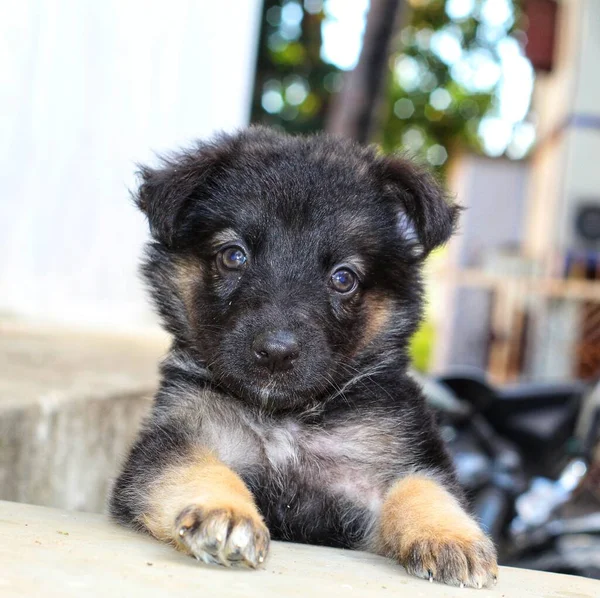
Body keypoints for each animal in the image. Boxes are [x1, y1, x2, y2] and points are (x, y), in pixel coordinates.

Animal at [110, 127, 500, 592]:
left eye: (344, 278)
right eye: (233, 256)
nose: (276, 352)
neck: (287, 420)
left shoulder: (388, 466)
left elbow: (420, 486)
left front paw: (447, 533)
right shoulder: (173, 441)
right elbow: (195, 466)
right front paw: (224, 511)